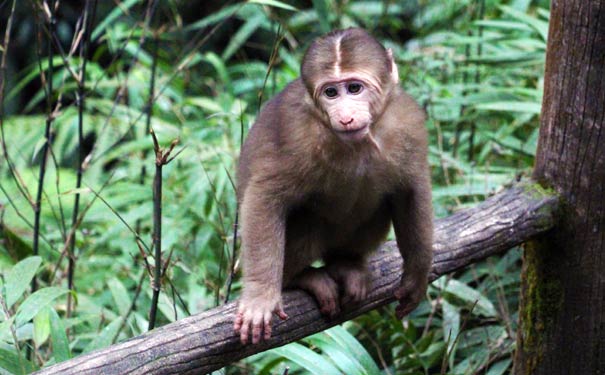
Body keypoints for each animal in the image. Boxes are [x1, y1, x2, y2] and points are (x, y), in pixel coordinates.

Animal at [232, 27, 434, 346]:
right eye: (331, 93)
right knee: (309, 219)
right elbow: (265, 197)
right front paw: (260, 296)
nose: (346, 116)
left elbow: (410, 191)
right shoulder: (296, 135)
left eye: (354, 88)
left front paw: (417, 275)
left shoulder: (408, 123)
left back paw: (346, 263)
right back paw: (300, 277)